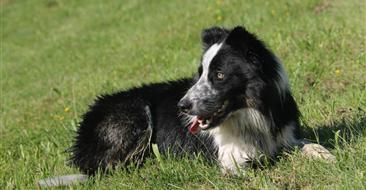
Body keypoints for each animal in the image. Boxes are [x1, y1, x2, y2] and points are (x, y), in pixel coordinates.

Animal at [67, 25, 334, 177]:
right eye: (201, 73)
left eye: (219, 75)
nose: (182, 106)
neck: (250, 113)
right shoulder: (230, 161)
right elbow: (261, 161)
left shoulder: (284, 134)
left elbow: (307, 145)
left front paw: (326, 155)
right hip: (135, 112)